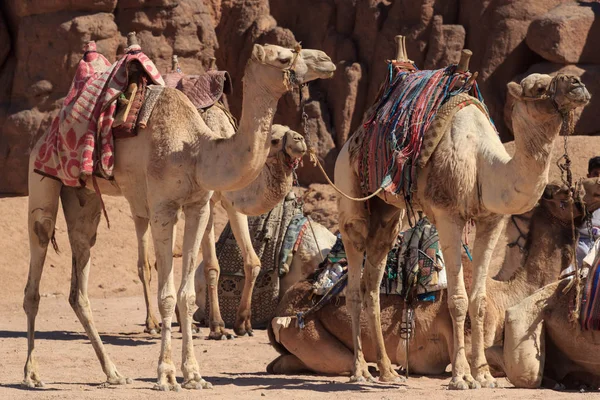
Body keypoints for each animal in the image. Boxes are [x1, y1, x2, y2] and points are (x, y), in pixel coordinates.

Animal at [23, 43, 336, 390]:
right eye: (283, 56)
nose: (327, 60)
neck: (197, 150)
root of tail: (49, 129)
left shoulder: (198, 206)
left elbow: (186, 295)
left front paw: (194, 375)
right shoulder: (163, 208)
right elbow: (168, 294)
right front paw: (166, 374)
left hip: (84, 197)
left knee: (79, 282)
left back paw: (113, 373)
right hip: (42, 179)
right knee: (36, 270)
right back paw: (32, 374)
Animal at [268, 179, 600, 382]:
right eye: (566, 195)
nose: (589, 206)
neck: (503, 294)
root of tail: (279, 311)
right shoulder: (464, 341)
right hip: (309, 334)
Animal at [332, 39, 592, 390]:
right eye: (538, 87)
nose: (578, 85)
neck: (483, 164)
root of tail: (353, 137)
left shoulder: (492, 220)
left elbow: (479, 301)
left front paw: (484, 375)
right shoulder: (448, 215)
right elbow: (458, 299)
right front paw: (461, 377)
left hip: (387, 214)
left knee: (371, 281)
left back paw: (386, 370)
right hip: (349, 195)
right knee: (353, 276)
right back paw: (360, 370)